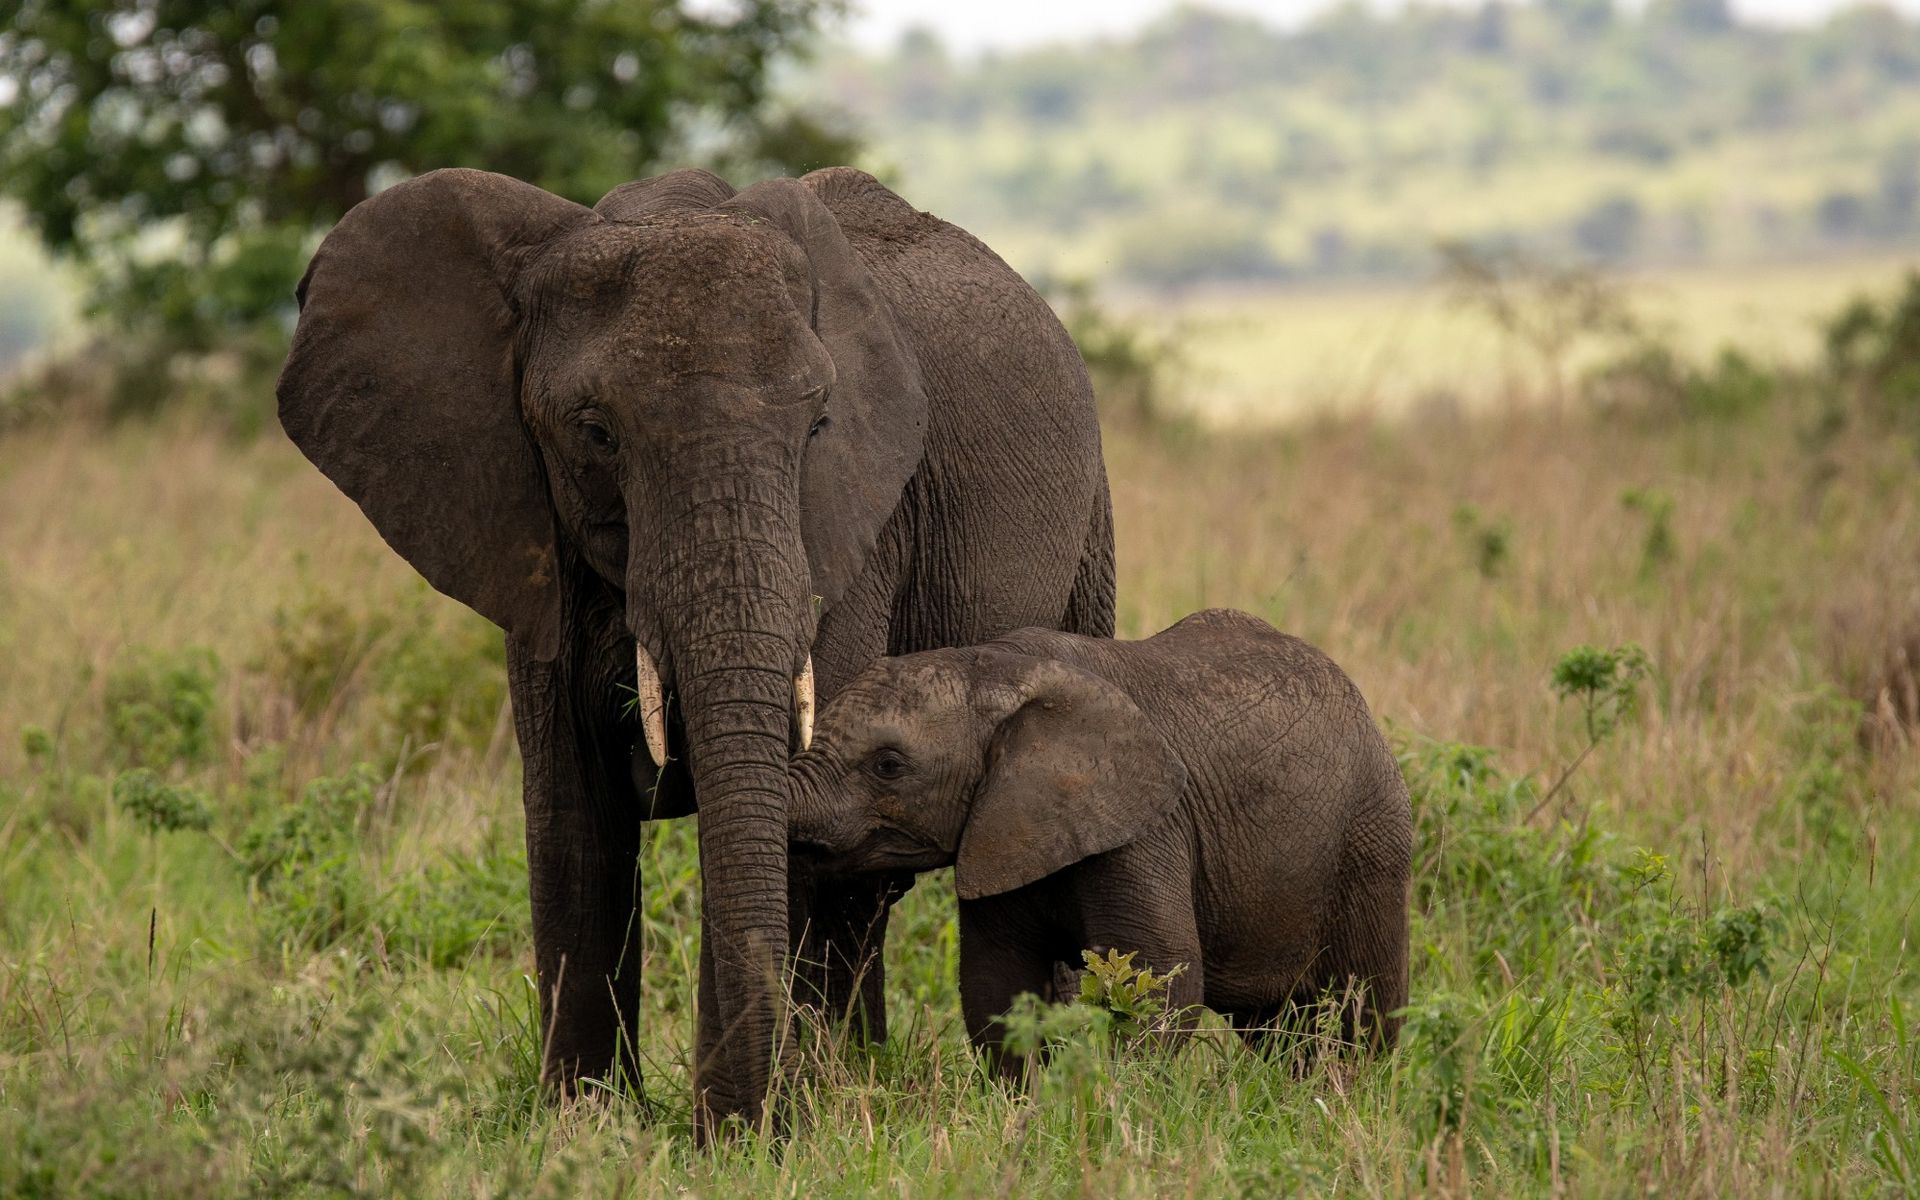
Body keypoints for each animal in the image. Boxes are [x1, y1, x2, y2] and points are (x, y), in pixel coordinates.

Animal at [275, 165, 1113, 1133]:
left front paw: (747, 1134)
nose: (752, 1119)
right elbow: (572, 819)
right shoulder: (530, 534)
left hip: (1090, 530)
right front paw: (585, 1126)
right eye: (596, 433)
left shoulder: (853, 528)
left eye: (818, 426)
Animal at [785, 609, 1411, 1076]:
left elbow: (1162, 977)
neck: (992, 668)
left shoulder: (1147, 827)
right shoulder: (1002, 827)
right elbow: (996, 984)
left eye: (888, 765)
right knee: (1274, 1025)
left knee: (1364, 1008)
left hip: (1371, 840)